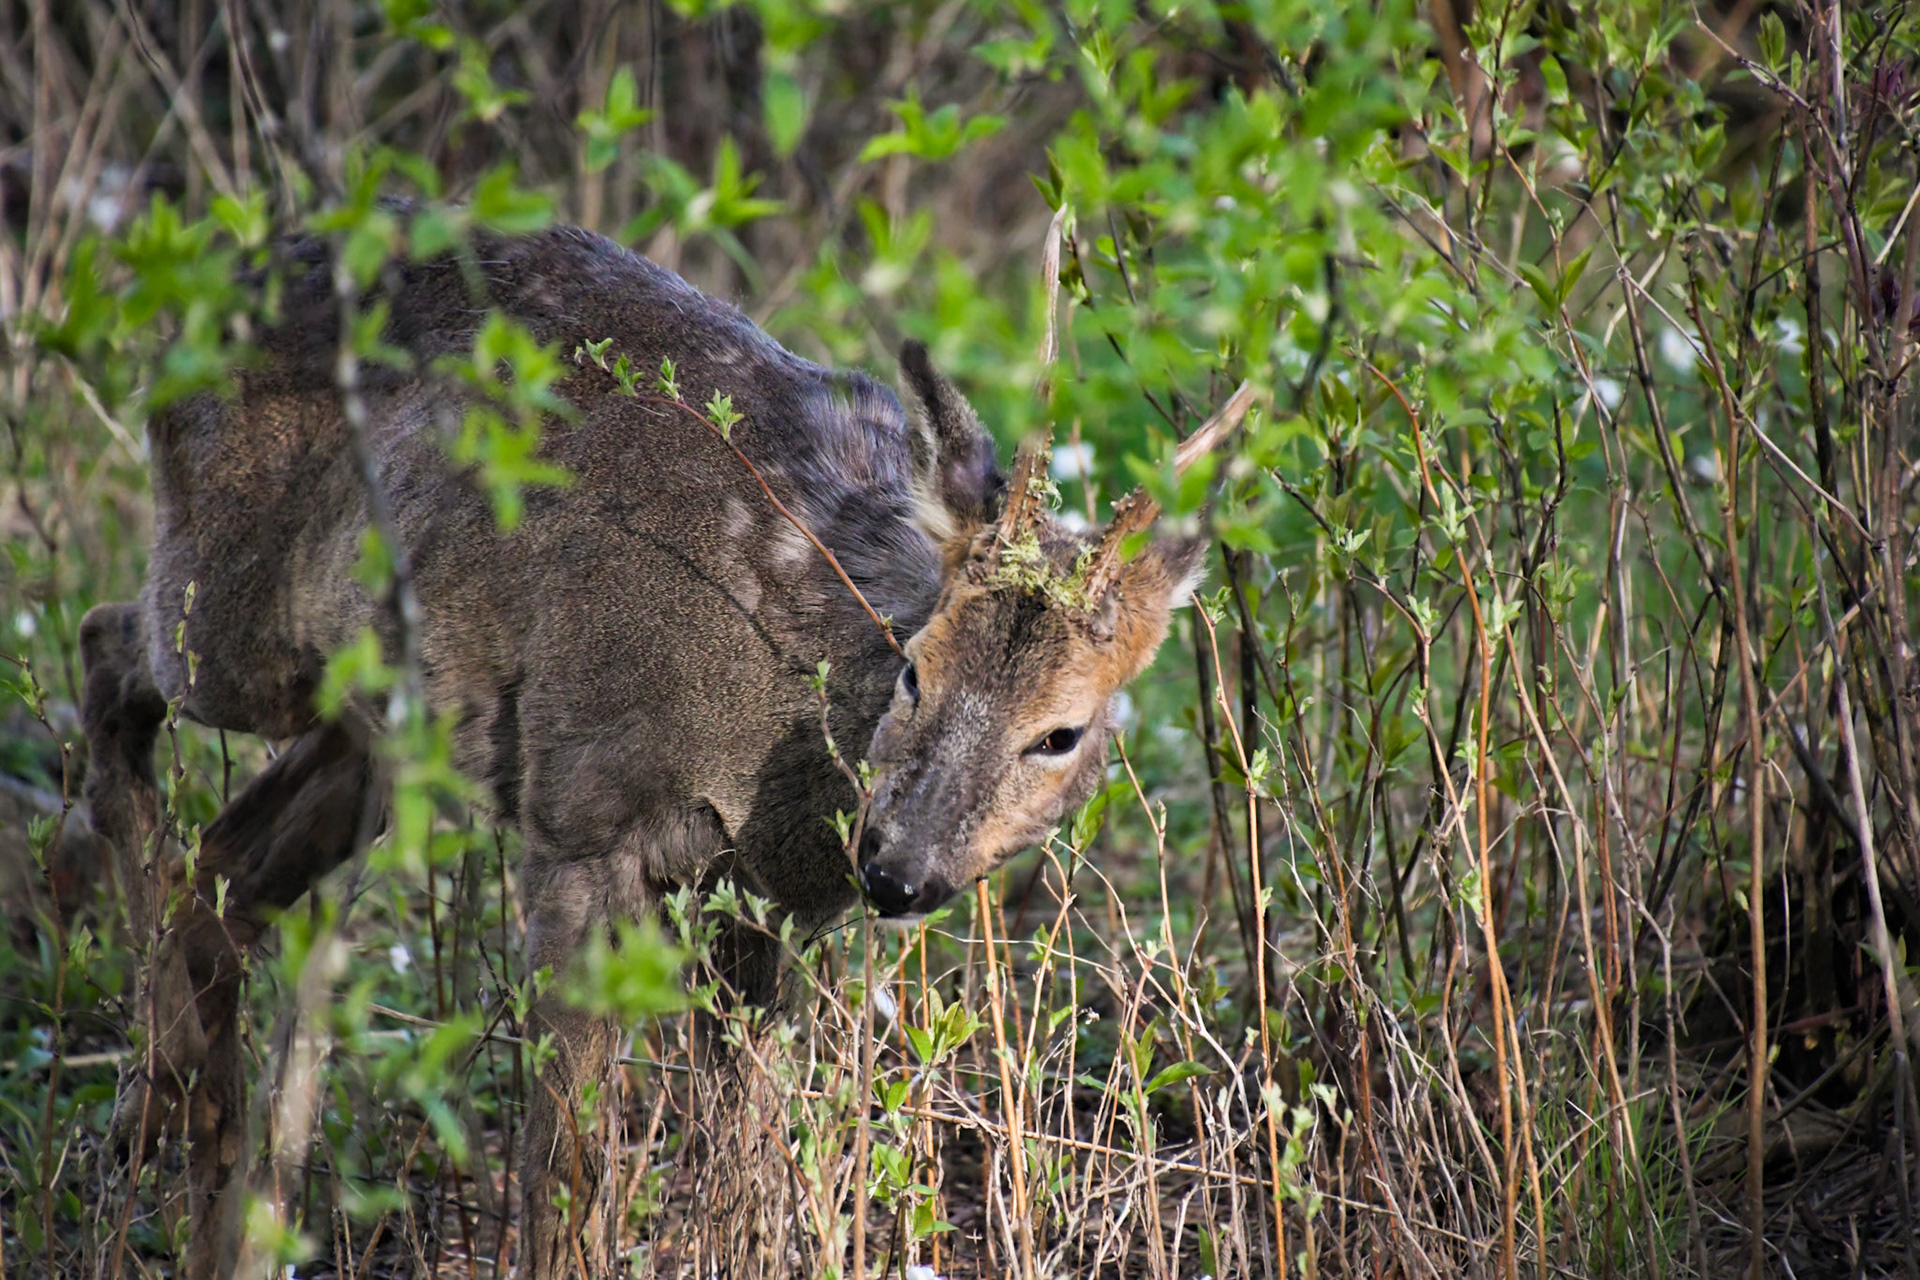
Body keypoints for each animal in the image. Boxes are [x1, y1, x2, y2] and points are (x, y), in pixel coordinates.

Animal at [79, 221, 1250, 1278]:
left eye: (1061, 733)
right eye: (915, 668)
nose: (898, 868)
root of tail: (202, 288)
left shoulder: (763, 905)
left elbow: (746, 1168)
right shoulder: (580, 813)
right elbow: (567, 1173)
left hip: (375, 712)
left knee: (221, 865)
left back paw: (201, 1170)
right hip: (236, 625)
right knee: (105, 645)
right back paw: (154, 1093)